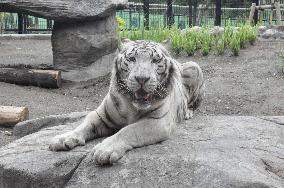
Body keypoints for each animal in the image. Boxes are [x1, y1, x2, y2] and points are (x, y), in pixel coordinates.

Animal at [48, 39, 204, 164]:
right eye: (132, 59)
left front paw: (105, 149)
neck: (132, 107)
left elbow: (128, 130)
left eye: (154, 60)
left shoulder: (159, 121)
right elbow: (82, 126)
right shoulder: (100, 115)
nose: (142, 79)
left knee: (194, 104)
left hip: (194, 66)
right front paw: (63, 139)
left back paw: (187, 112)